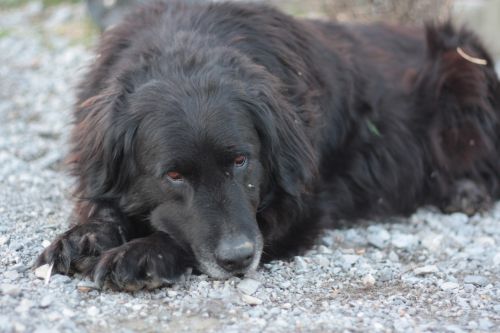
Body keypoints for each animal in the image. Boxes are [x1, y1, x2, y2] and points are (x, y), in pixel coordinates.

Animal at [36, 1, 500, 290]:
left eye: (242, 160)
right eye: (173, 175)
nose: (238, 259)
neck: (186, 48)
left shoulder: (301, 205)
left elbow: (182, 235)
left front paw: (142, 253)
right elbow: (104, 208)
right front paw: (86, 237)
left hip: (462, 67)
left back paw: (464, 192)